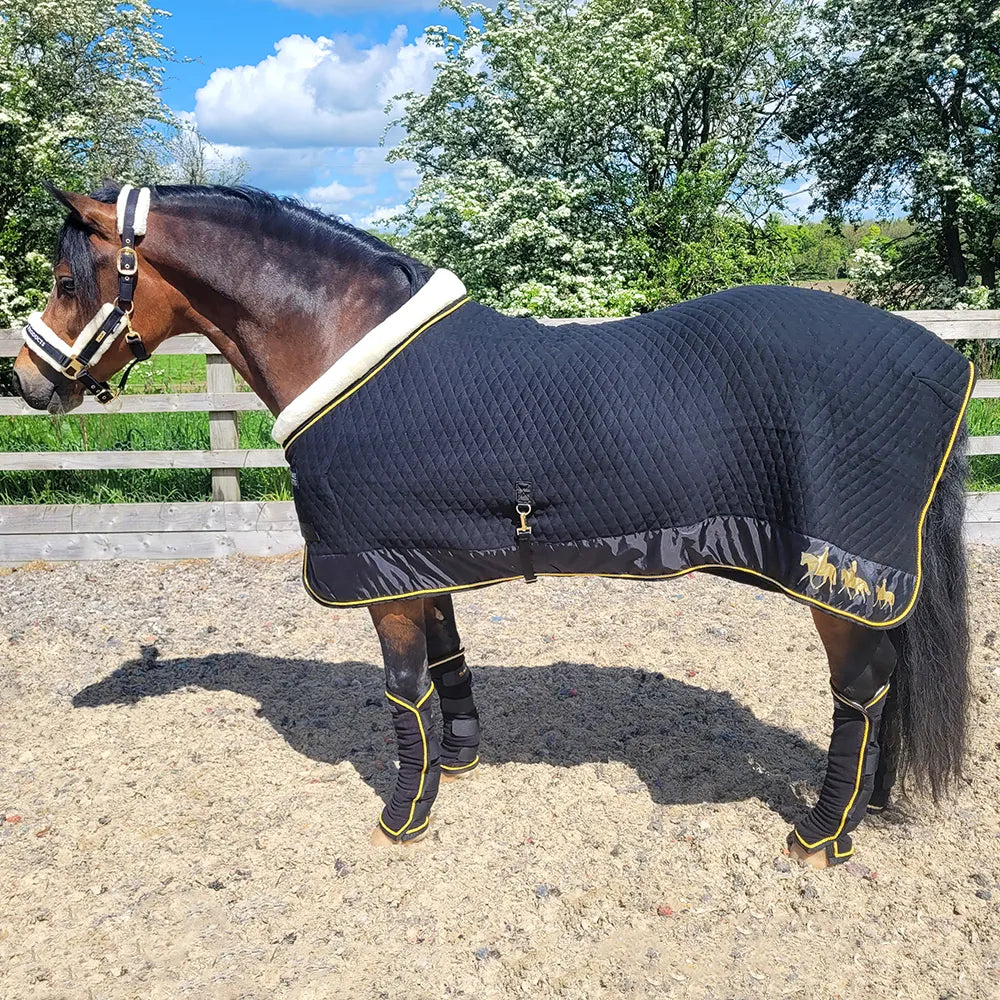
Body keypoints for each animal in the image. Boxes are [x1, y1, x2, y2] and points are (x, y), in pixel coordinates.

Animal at [11, 184, 974, 869]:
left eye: (65, 283)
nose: (25, 380)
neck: (342, 337)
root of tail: (945, 360)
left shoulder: (378, 574)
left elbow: (402, 687)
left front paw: (404, 814)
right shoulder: (414, 555)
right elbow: (447, 661)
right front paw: (460, 758)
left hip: (839, 583)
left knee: (860, 692)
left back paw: (821, 835)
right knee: (885, 686)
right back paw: (866, 807)